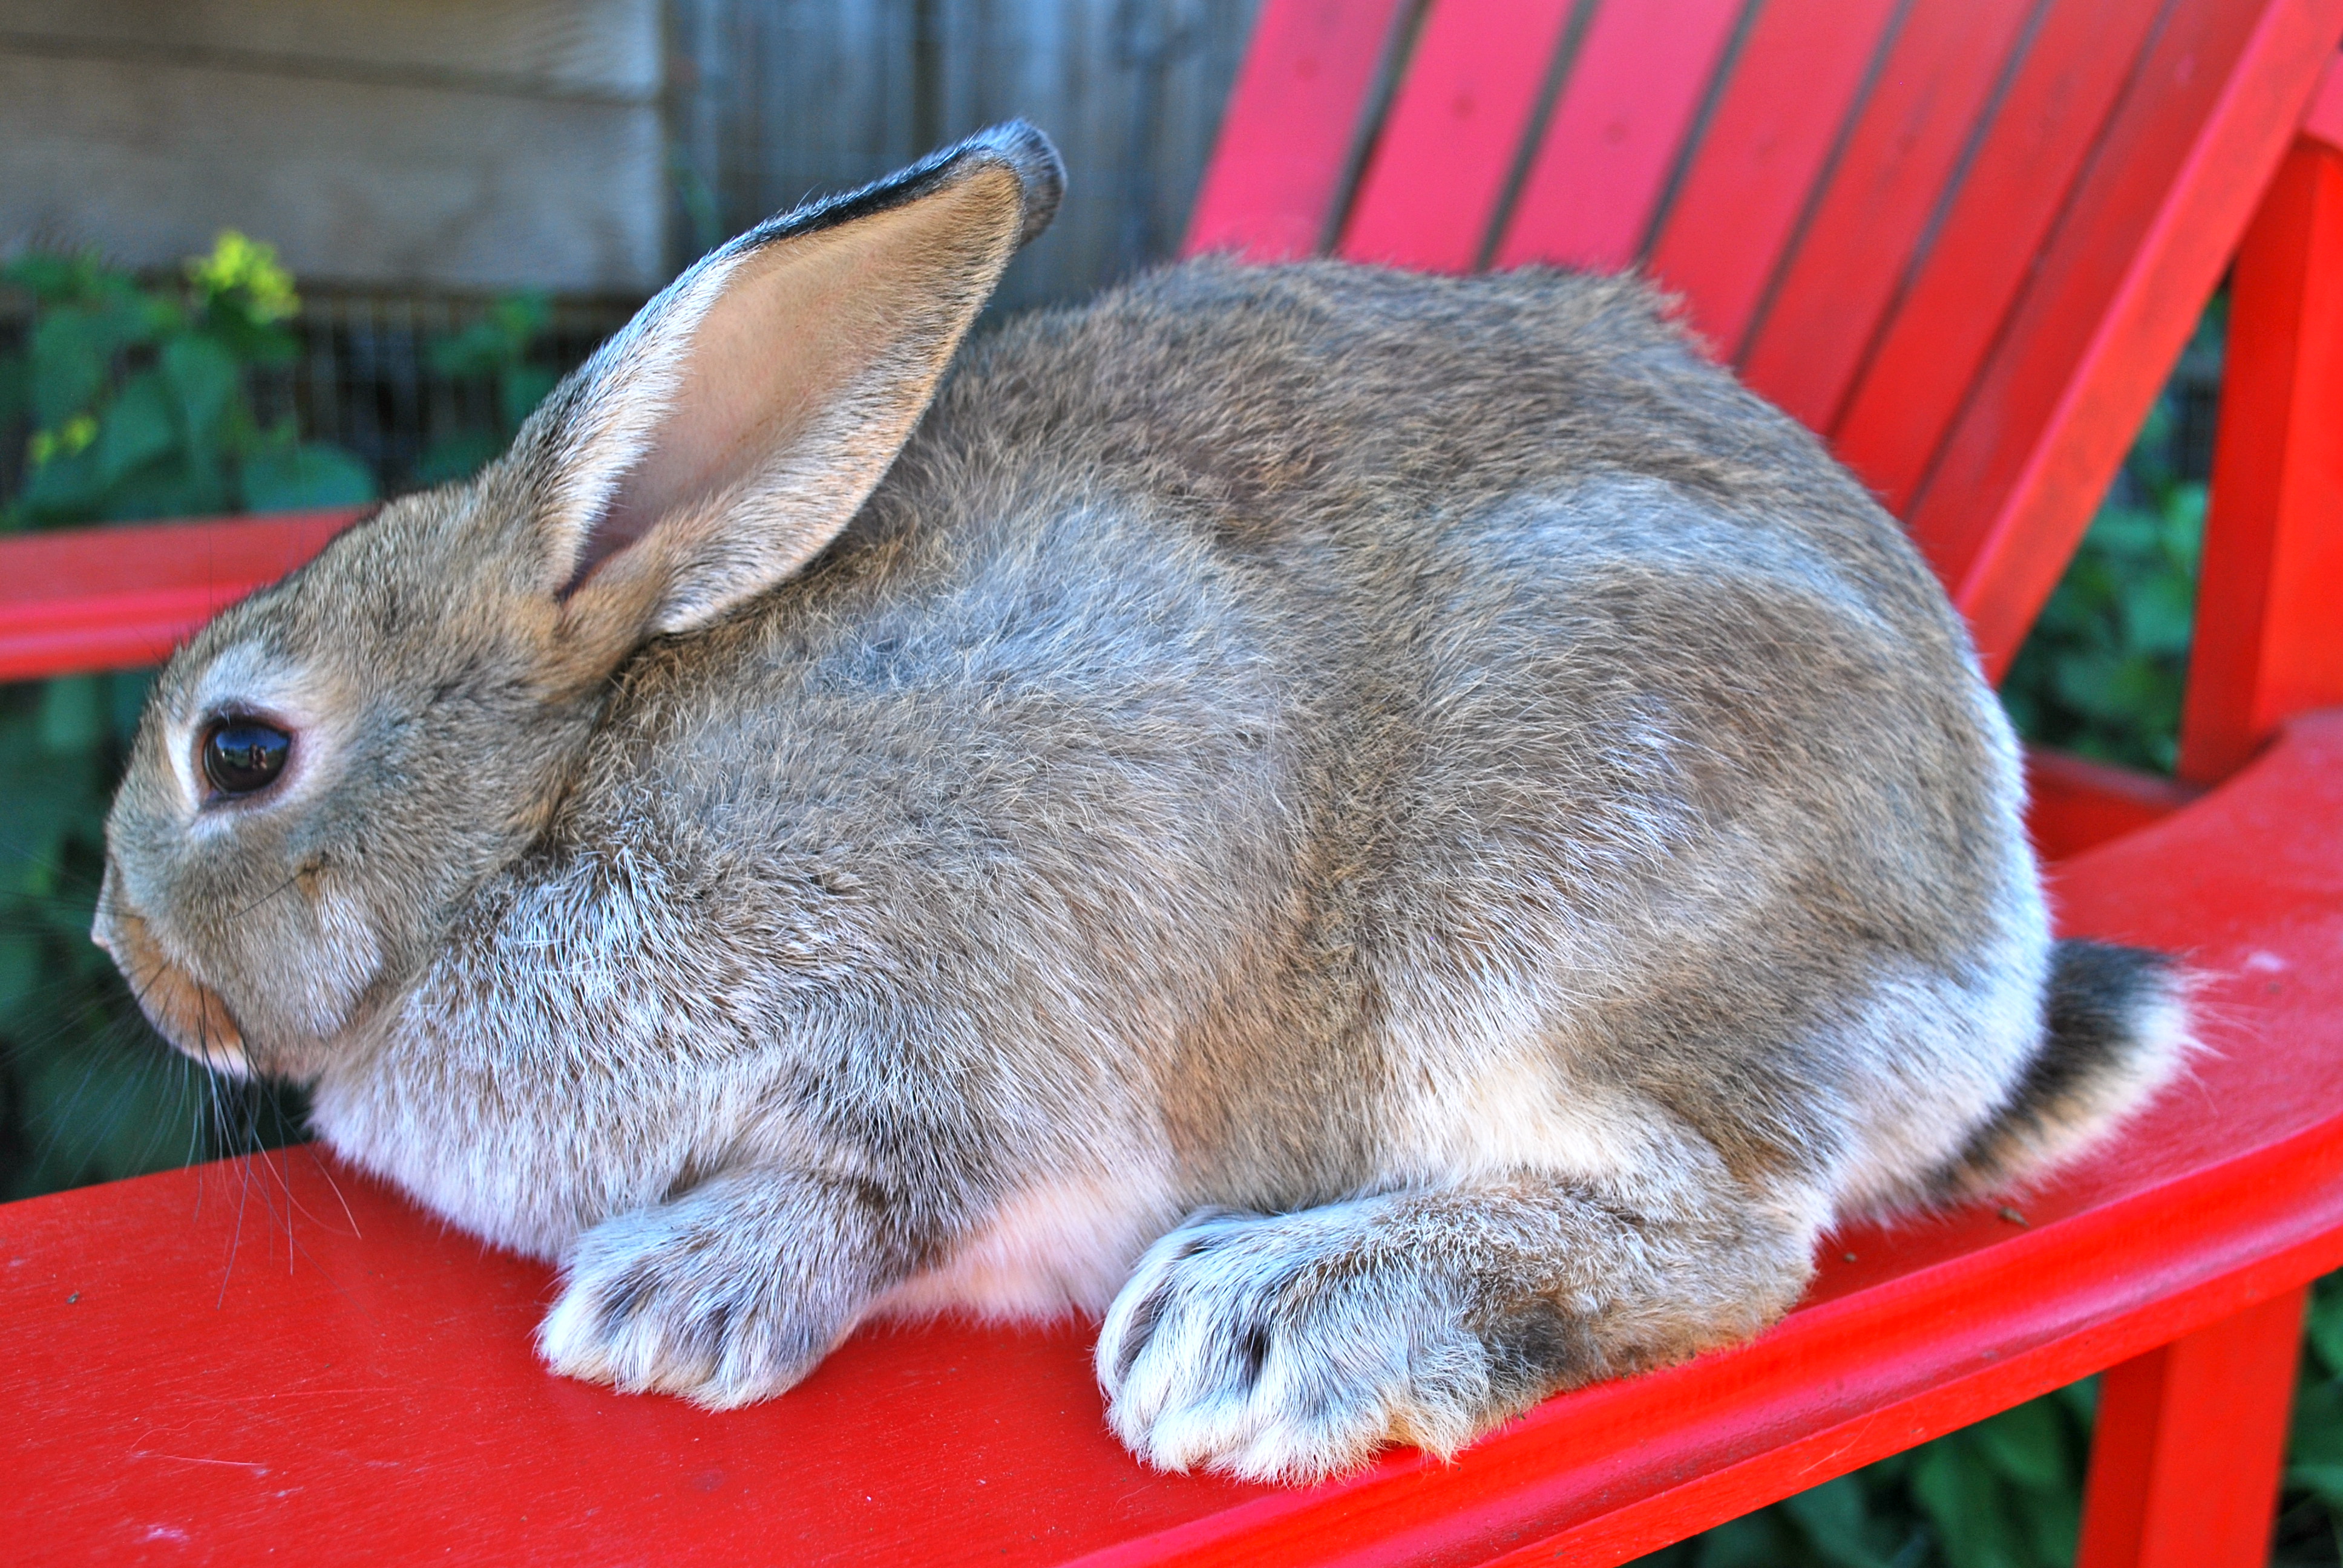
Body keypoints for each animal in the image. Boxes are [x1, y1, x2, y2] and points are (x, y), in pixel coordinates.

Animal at [93, 121, 2191, 1485]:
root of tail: (1991, 945)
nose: (121, 955)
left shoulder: (969, 1001)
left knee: (1725, 1240)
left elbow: (885, 1186)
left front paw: (672, 1310)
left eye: (243, 752)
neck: (542, 821)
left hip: (1552, 919)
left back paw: (1272, 1324)